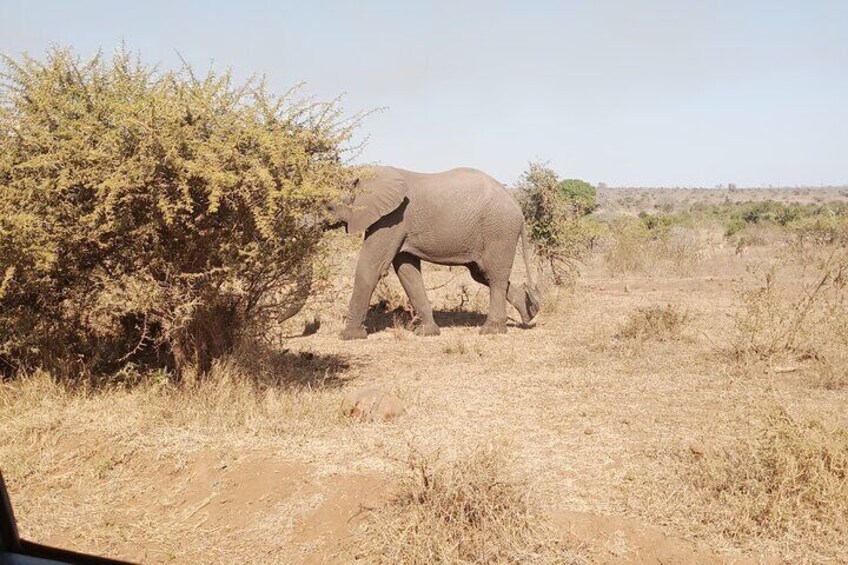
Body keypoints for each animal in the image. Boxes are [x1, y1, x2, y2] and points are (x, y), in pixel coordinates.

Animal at [328, 164, 540, 340]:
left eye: (328, 207)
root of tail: (518, 207)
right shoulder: (399, 225)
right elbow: (407, 272)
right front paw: (427, 333)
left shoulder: (391, 219)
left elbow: (371, 267)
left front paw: (348, 336)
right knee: (482, 274)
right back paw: (530, 313)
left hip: (499, 231)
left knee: (494, 276)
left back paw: (491, 330)